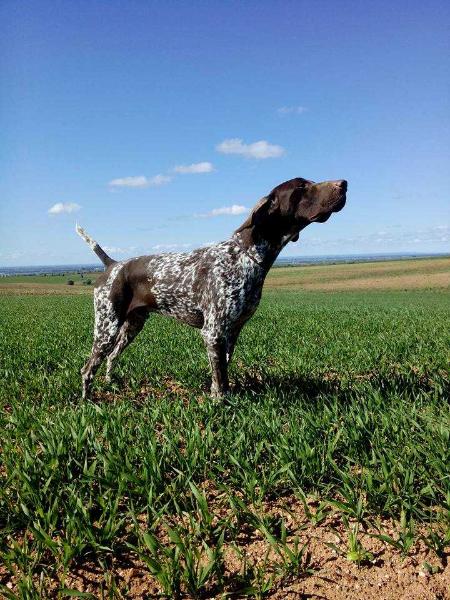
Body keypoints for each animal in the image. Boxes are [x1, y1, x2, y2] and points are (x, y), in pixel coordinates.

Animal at [77, 177, 346, 398]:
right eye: (301, 187)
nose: (343, 184)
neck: (246, 256)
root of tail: (113, 264)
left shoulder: (232, 332)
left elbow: (223, 369)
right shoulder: (213, 331)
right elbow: (219, 379)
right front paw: (219, 403)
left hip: (132, 326)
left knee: (112, 357)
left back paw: (110, 384)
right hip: (107, 328)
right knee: (87, 368)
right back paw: (87, 400)